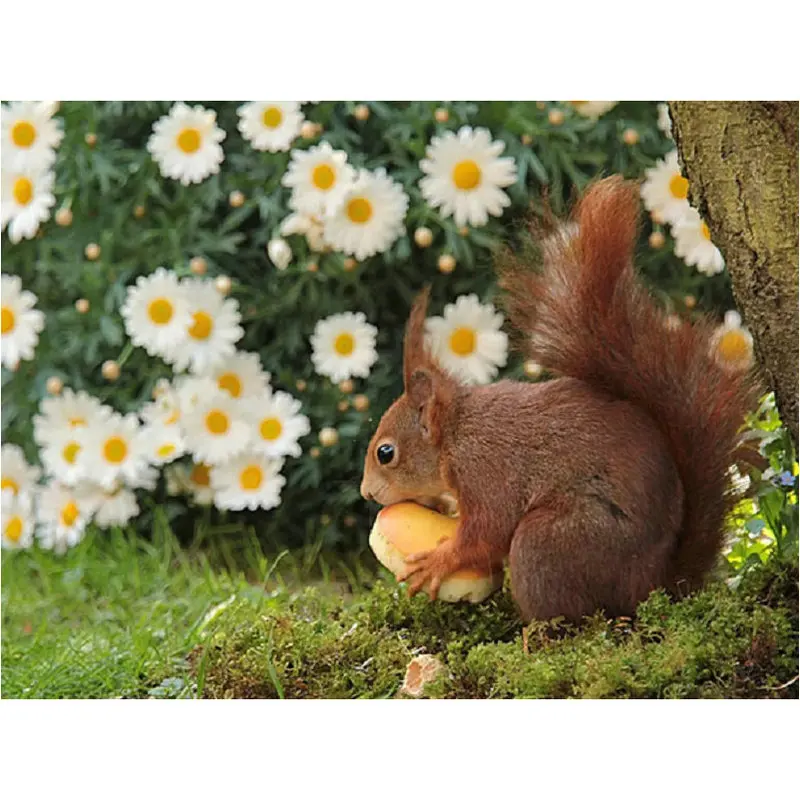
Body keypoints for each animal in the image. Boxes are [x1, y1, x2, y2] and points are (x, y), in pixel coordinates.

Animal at [360, 175, 760, 623]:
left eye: (386, 453)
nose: (366, 493)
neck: (456, 435)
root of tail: (656, 585)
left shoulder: (486, 472)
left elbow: (486, 532)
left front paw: (440, 561)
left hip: (550, 543)